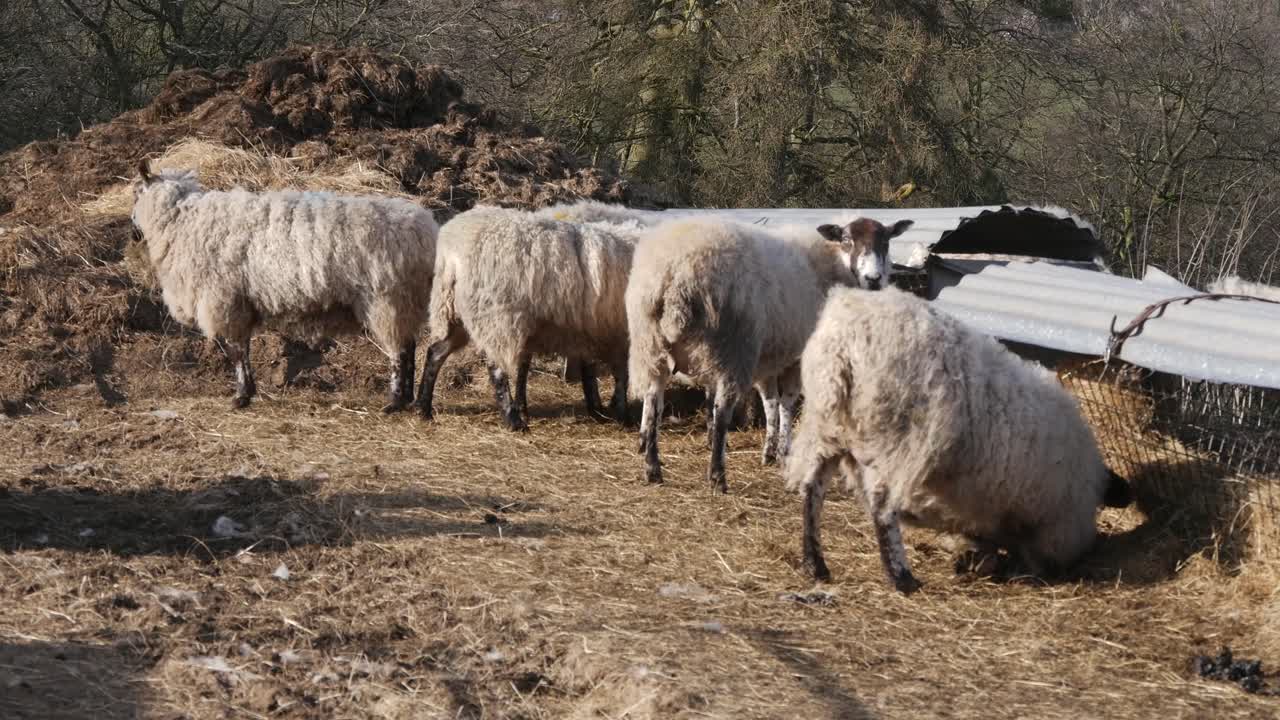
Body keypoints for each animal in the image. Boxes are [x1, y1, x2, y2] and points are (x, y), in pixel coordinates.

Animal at [130, 161, 438, 411]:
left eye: (135, 192)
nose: (132, 232)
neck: (182, 219)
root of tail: (425, 231)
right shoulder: (240, 302)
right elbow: (242, 349)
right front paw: (248, 391)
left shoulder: (226, 300)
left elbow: (236, 351)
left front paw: (241, 396)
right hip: (405, 301)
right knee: (409, 346)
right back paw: (408, 398)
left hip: (386, 300)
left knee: (398, 350)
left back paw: (394, 401)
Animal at [416, 203, 646, 430]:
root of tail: (451, 250)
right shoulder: (622, 333)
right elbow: (621, 375)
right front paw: (622, 415)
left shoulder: (597, 329)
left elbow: (597, 371)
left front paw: (601, 410)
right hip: (497, 317)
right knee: (496, 368)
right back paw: (513, 420)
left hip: (455, 314)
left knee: (436, 352)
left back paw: (423, 409)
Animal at [626, 215, 913, 493]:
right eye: (846, 240)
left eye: (886, 241)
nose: (874, 279)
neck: (832, 264)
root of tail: (676, 274)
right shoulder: (796, 358)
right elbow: (787, 403)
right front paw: (784, 451)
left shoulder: (770, 358)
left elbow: (770, 402)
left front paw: (770, 452)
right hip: (733, 350)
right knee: (721, 412)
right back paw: (717, 476)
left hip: (650, 347)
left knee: (653, 404)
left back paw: (652, 469)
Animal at [785, 286, 1133, 594]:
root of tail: (845, 332)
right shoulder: (1049, 525)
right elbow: (1029, 557)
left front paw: (974, 561)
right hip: (895, 440)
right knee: (882, 508)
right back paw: (902, 577)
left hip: (827, 426)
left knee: (813, 489)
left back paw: (815, 564)